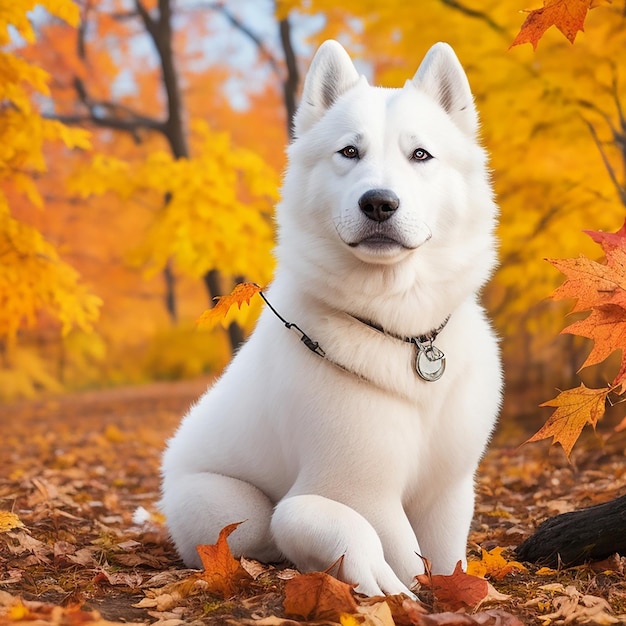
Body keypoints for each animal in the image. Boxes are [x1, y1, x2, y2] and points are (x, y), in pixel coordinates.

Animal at [160, 39, 498, 596]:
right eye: (349, 152)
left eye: (420, 155)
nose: (378, 202)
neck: (403, 331)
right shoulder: (364, 490)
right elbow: (403, 557)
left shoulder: (449, 488)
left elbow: (448, 559)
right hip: (234, 510)